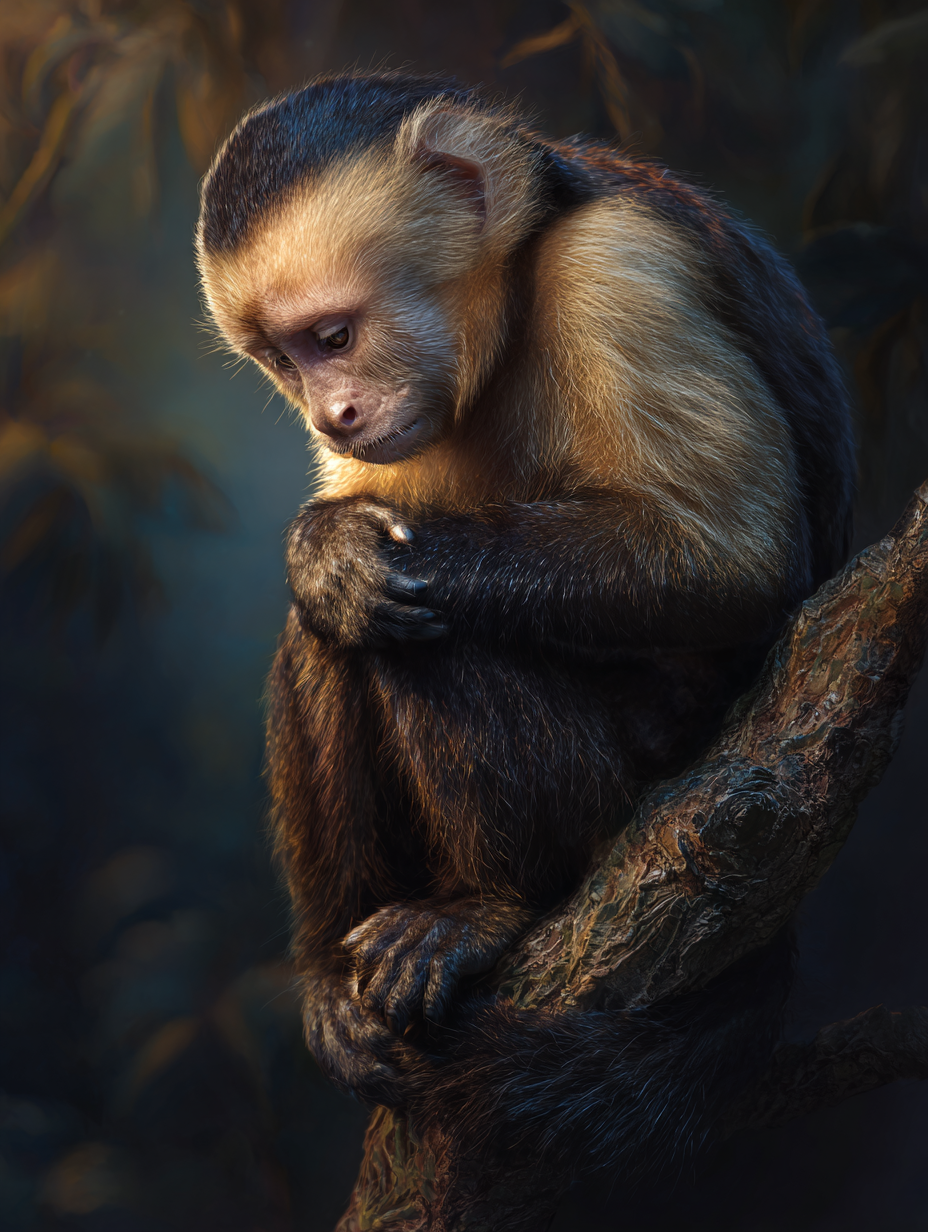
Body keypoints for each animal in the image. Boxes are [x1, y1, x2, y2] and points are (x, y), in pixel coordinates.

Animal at [196, 72, 855, 1173]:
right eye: (282, 360)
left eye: (333, 338)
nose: (330, 412)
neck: (511, 301)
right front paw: (323, 554)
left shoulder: (621, 268)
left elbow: (739, 560)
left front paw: (355, 557)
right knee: (333, 641)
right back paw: (334, 964)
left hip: (636, 792)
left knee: (427, 636)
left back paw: (495, 908)